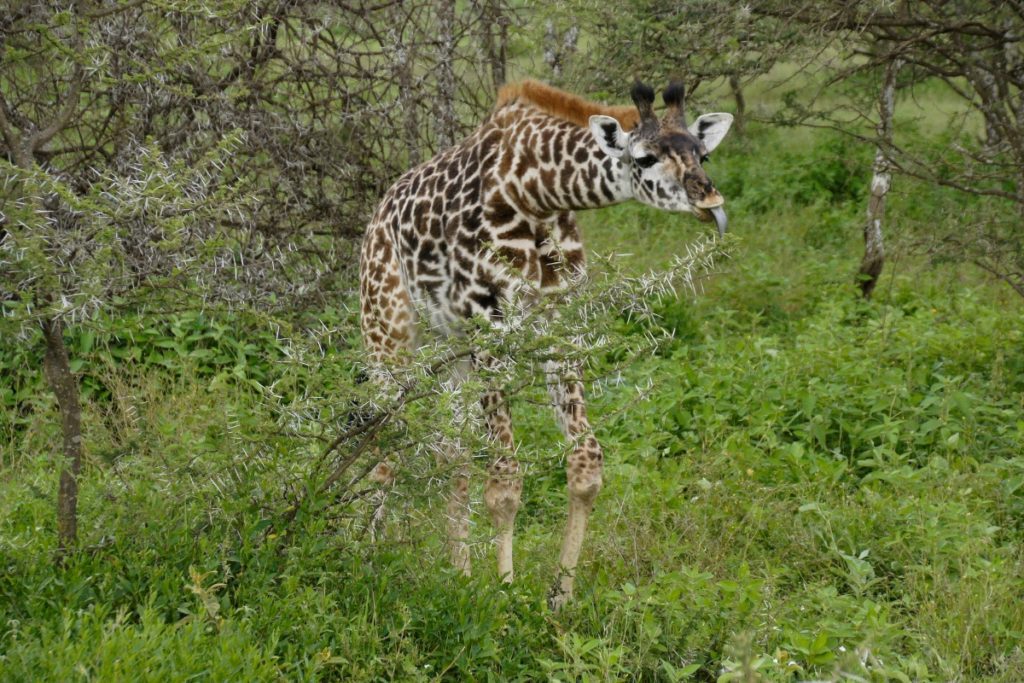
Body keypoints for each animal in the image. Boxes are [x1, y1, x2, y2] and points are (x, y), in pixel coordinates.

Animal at [359, 79, 733, 608]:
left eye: (703, 154)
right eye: (643, 158)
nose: (711, 202)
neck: (536, 194)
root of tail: (377, 214)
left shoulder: (563, 326)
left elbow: (586, 461)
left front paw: (560, 595)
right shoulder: (489, 326)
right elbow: (505, 478)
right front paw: (505, 592)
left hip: (450, 347)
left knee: (452, 454)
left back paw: (459, 576)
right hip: (388, 330)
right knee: (384, 445)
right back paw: (367, 556)